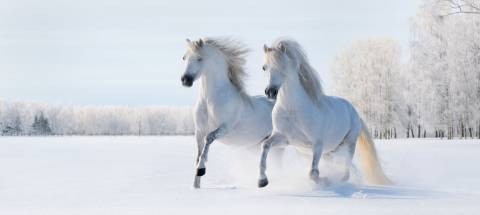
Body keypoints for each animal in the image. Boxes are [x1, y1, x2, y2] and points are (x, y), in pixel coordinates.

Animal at [180, 38, 274, 188]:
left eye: (200, 58)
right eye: (184, 58)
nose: (185, 80)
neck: (210, 100)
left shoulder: (224, 128)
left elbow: (209, 139)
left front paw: (201, 169)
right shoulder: (199, 131)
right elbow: (198, 154)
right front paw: (196, 186)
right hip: (256, 145)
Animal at [258, 38, 390, 188]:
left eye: (283, 65)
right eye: (264, 67)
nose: (270, 92)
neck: (293, 109)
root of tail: (356, 113)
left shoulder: (318, 144)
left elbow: (313, 173)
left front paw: (326, 181)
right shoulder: (284, 139)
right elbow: (265, 145)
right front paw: (262, 181)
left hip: (348, 145)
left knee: (346, 171)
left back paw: (340, 181)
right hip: (330, 152)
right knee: (349, 168)